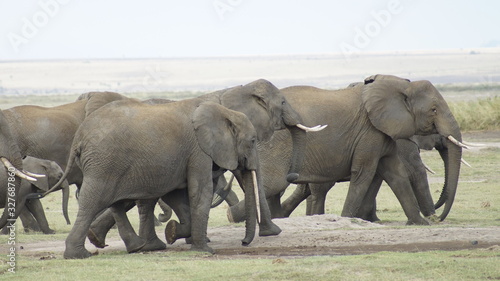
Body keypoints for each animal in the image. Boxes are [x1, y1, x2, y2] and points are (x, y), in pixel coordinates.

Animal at [227, 74, 464, 225]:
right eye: (434, 110)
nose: (439, 218)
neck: (401, 86)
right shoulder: (370, 132)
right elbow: (366, 173)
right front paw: (348, 219)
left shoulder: (383, 132)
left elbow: (395, 173)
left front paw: (420, 223)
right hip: (276, 143)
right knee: (274, 184)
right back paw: (234, 216)